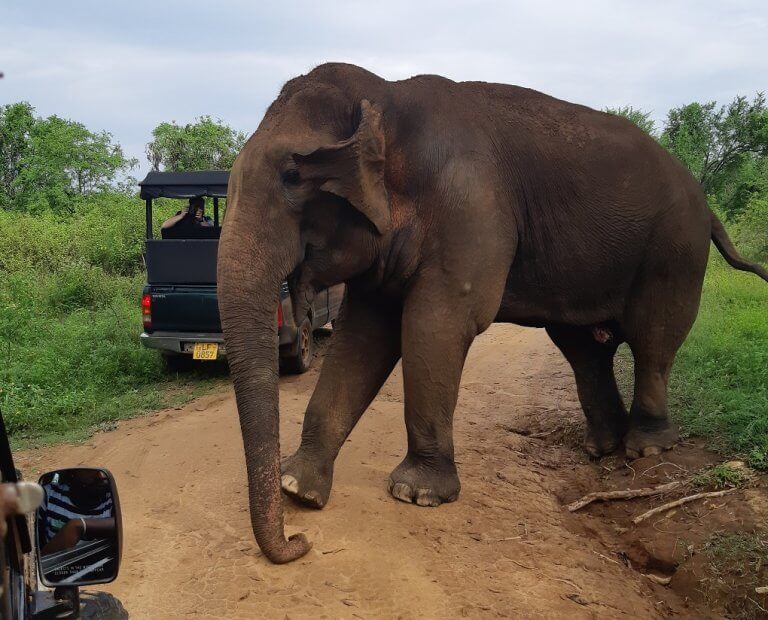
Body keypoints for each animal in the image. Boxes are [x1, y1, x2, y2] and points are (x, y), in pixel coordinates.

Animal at [216, 63, 768, 564]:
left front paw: (417, 494)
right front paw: (299, 488)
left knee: (654, 339)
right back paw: (600, 448)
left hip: (675, 249)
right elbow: (364, 336)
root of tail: (708, 207)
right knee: (583, 348)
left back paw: (646, 449)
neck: (386, 95)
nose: (299, 543)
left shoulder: (471, 208)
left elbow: (436, 324)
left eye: (293, 176)